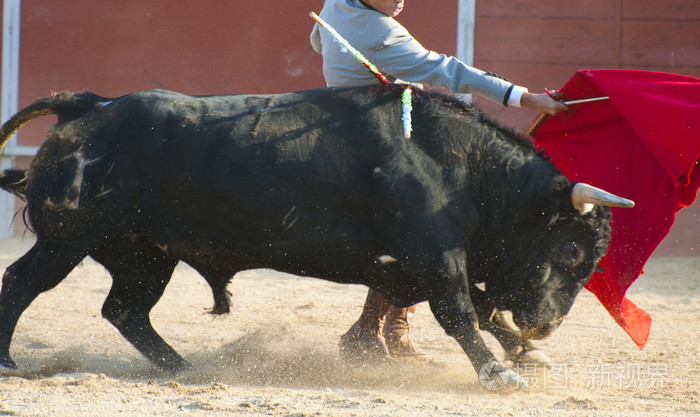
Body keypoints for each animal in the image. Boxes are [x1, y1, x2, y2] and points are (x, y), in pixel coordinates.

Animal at [0, 83, 636, 386]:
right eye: (572, 248)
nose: (546, 325)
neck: (459, 163)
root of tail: (90, 105)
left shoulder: (412, 266)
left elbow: (479, 308)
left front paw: (527, 355)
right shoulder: (433, 255)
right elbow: (460, 310)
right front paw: (501, 372)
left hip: (145, 255)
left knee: (126, 310)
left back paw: (186, 368)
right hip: (69, 240)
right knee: (22, 281)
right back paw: (8, 362)